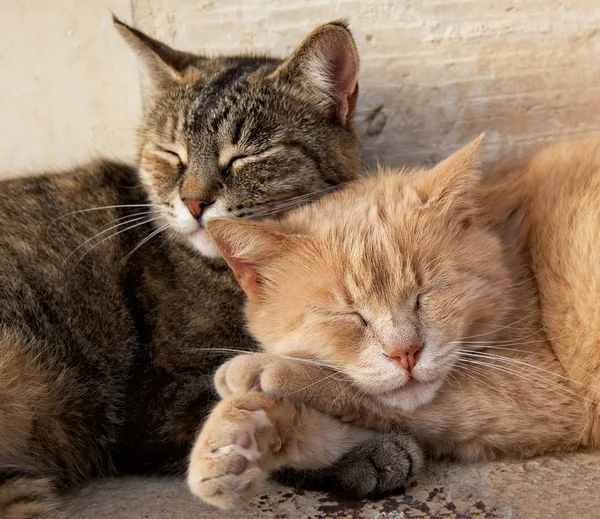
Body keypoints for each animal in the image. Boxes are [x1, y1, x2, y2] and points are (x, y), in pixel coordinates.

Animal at [189, 136, 600, 510]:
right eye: (349, 315)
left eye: (425, 294)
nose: (406, 352)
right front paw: (240, 438)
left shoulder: (540, 390)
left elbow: (387, 401)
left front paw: (267, 372)